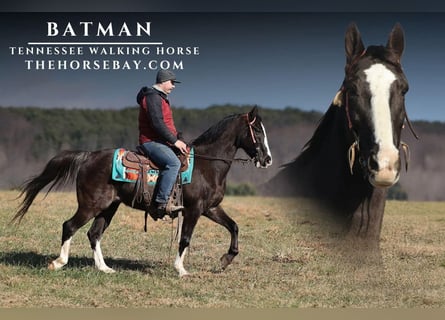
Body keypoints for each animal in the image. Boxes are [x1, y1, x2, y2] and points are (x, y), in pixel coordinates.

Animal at [13, 106, 270, 276]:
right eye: (257, 131)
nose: (267, 159)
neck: (206, 165)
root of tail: (88, 156)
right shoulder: (193, 209)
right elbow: (185, 238)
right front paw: (181, 269)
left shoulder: (210, 208)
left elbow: (234, 226)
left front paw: (226, 259)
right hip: (90, 205)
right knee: (69, 226)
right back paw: (59, 262)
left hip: (108, 207)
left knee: (94, 234)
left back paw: (104, 268)